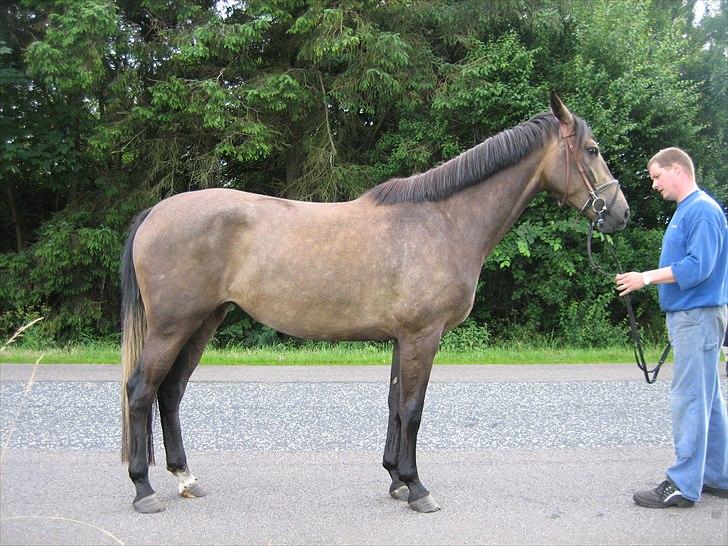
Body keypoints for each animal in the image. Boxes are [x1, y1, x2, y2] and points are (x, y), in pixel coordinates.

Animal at [121, 91, 632, 512]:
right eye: (592, 150)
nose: (621, 213)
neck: (444, 221)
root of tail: (155, 213)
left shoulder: (402, 339)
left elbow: (394, 405)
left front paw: (395, 480)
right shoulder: (424, 336)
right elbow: (413, 409)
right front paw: (418, 487)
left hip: (203, 321)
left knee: (170, 392)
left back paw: (186, 479)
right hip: (172, 326)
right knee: (142, 390)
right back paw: (144, 489)